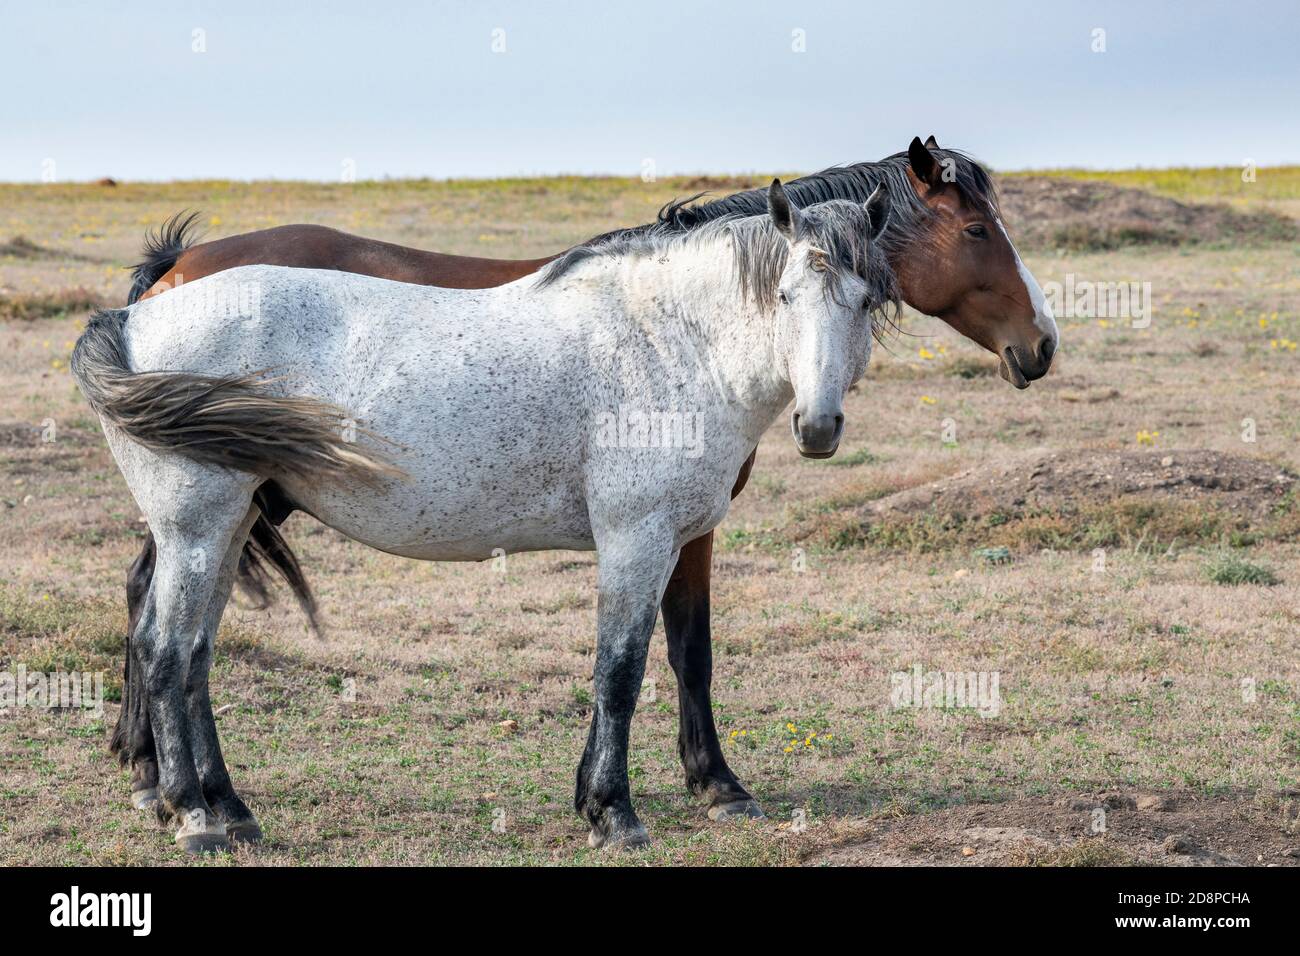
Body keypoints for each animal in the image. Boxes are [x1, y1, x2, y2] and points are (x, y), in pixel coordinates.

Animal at [110, 136, 1059, 824]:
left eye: (864, 300)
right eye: (978, 231)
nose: (1041, 344)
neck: (675, 339)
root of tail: (143, 308)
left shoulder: (684, 534)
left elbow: (682, 653)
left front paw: (691, 788)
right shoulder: (640, 537)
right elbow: (626, 665)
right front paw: (618, 808)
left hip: (233, 522)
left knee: (188, 647)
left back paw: (213, 800)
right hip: (205, 525)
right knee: (164, 642)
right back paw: (188, 808)